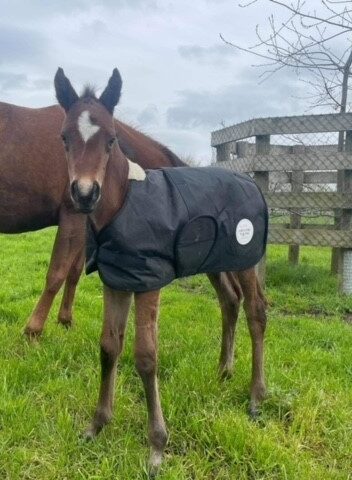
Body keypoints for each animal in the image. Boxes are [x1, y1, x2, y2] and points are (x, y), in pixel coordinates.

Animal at [53, 68, 266, 476]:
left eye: (111, 139)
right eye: (65, 137)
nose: (85, 194)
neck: (121, 205)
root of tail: (250, 180)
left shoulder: (148, 282)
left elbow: (146, 357)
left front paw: (156, 447)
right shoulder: (116, 280)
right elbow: (109, 346)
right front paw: (97, 425)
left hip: (245, 259)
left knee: (256, 311)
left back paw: (255, 398)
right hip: (217, 261)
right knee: (230, 302)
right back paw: (223, 371)